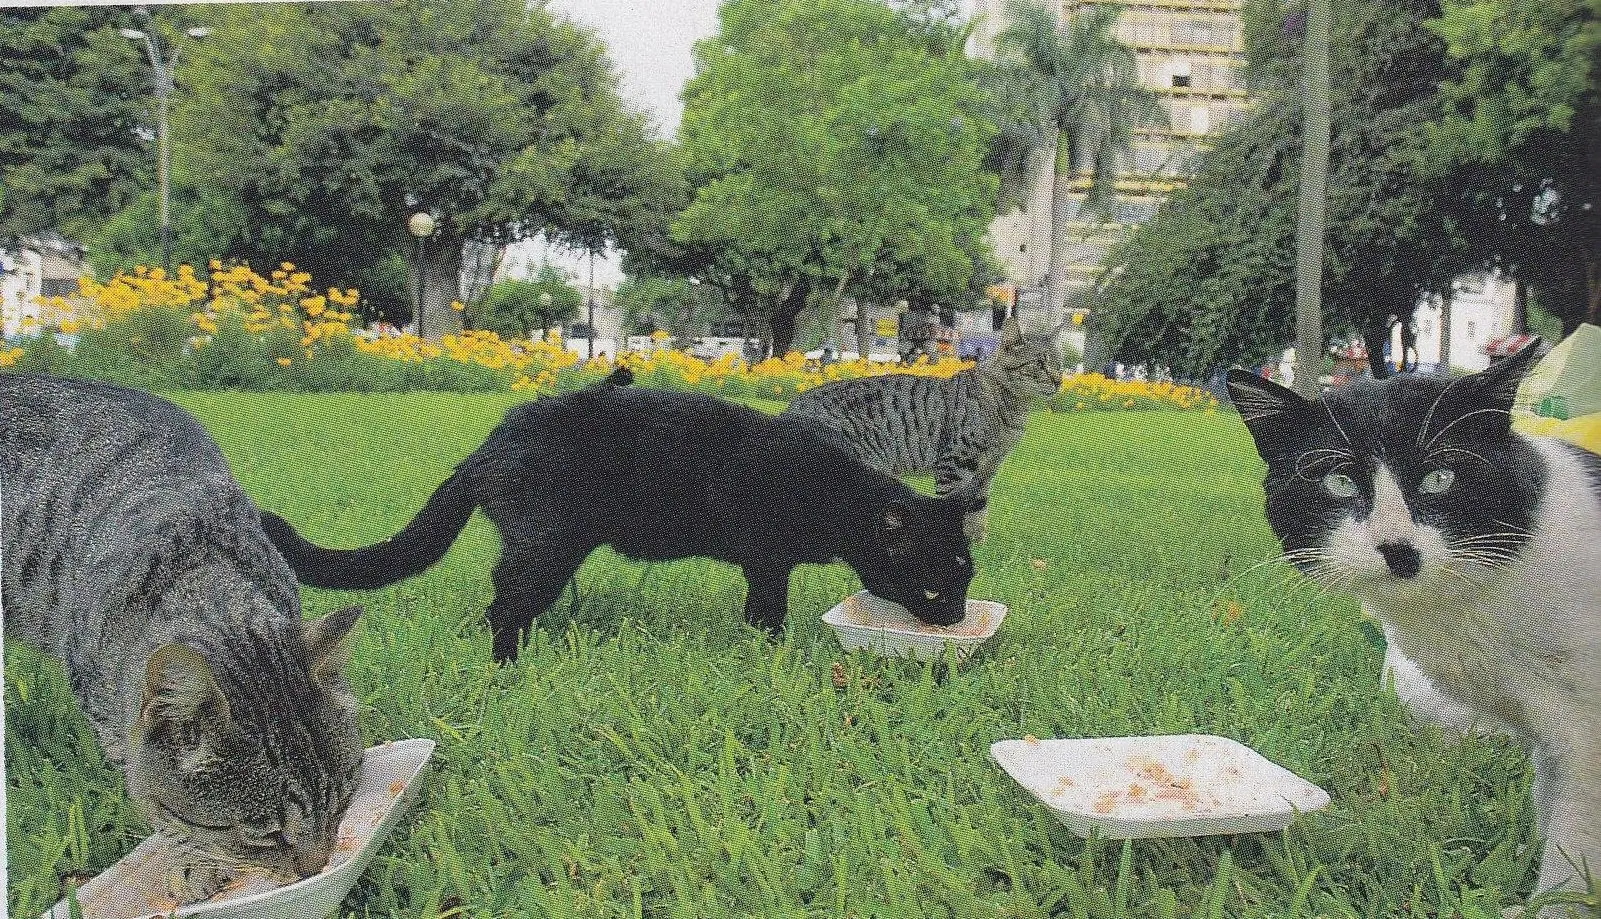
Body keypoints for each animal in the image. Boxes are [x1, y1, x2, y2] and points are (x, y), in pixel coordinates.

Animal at [0, 373, 366, 902]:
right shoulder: (108, 717)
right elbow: (156, 801)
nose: (317, 868)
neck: (198, 569)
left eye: (342, 800)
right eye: (264, 833)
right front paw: (191, 859)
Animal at [259, 371, 973, 666]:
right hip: (544, 549)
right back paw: (510, 668)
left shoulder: (761, 564)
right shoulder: (768, 559)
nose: (957, 615)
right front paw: (771, 652)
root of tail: (491, 440)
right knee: (503, 605)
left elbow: (757, 610)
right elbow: (770, 612)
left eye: (967, 578)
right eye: (939, 583)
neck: (836, 492)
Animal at [784, 318, 1063, 544]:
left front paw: (979, 545)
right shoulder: (956, 462)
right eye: (1040, 364)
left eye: (1059, 364)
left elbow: (978, 509)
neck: (1013, 410)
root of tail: (792, 406)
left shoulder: (989, 469)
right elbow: (955, 505)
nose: (1059, 380)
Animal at [1229, 345, 1594, 915]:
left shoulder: (1583, 728)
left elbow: (1573, 833)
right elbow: (1552, 803)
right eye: (1338, 482)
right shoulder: (1553, 735)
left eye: (1440, 477)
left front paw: (1558, 906)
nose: (1397, 548)